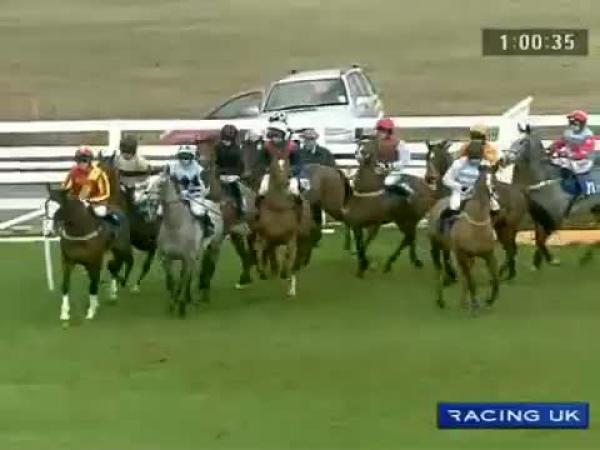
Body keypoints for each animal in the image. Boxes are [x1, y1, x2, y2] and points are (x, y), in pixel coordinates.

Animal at [46, 174, 134, 324]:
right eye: (46, 205)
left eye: (59, 208)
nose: (48, 232)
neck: (80, 231)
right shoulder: (68, 261)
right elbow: (65, 285)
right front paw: (65, 313)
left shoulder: (94, 261)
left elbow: (93, 284)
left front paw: (91, 312)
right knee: (112, 267)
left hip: (121, 249)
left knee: (120, 264)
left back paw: (114, 292)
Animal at [342, 136, 436, 277]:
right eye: (359, 146)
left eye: (367, 147)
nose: (357, 153)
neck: (367, 194)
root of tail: (426, 186)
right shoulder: (357, 225)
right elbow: (361, 245)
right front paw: (363, 263)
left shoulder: (374, 225)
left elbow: (364, 244)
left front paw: (364, 265)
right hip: (405, 221)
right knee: (410, 238)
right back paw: (413, 260)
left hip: (406, 220)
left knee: (408, 238)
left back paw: (390, 263)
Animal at [425, 139, 528, 280]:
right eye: (426, 157)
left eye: (436, 157)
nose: (429, 178)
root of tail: (519, 193)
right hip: (501, 228)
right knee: (510, 248)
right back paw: (508, 273)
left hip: (508, 227)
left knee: (510, 249)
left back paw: (505, 273)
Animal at [427, 163, 499, 312]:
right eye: (483, 180)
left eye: (495, 178)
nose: (493, 193)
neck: (476, 224)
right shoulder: (462, 254)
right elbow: (471, 281)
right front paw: (476, 303)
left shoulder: (488, 254)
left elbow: (496, 279)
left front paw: (490, 300)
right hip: (437, 247)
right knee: (439, 271)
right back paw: (441, 299)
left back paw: (463, 300)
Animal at [505, 128, 600, 270]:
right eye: (514, 140)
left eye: (522, 141)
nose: (504, 159)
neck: (545, 180)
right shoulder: (539, 216)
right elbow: (538, 239)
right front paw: (537, 263)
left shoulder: (556, 217)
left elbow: (541, 239)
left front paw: (551, 260)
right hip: (596, 208)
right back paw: (585, 258)